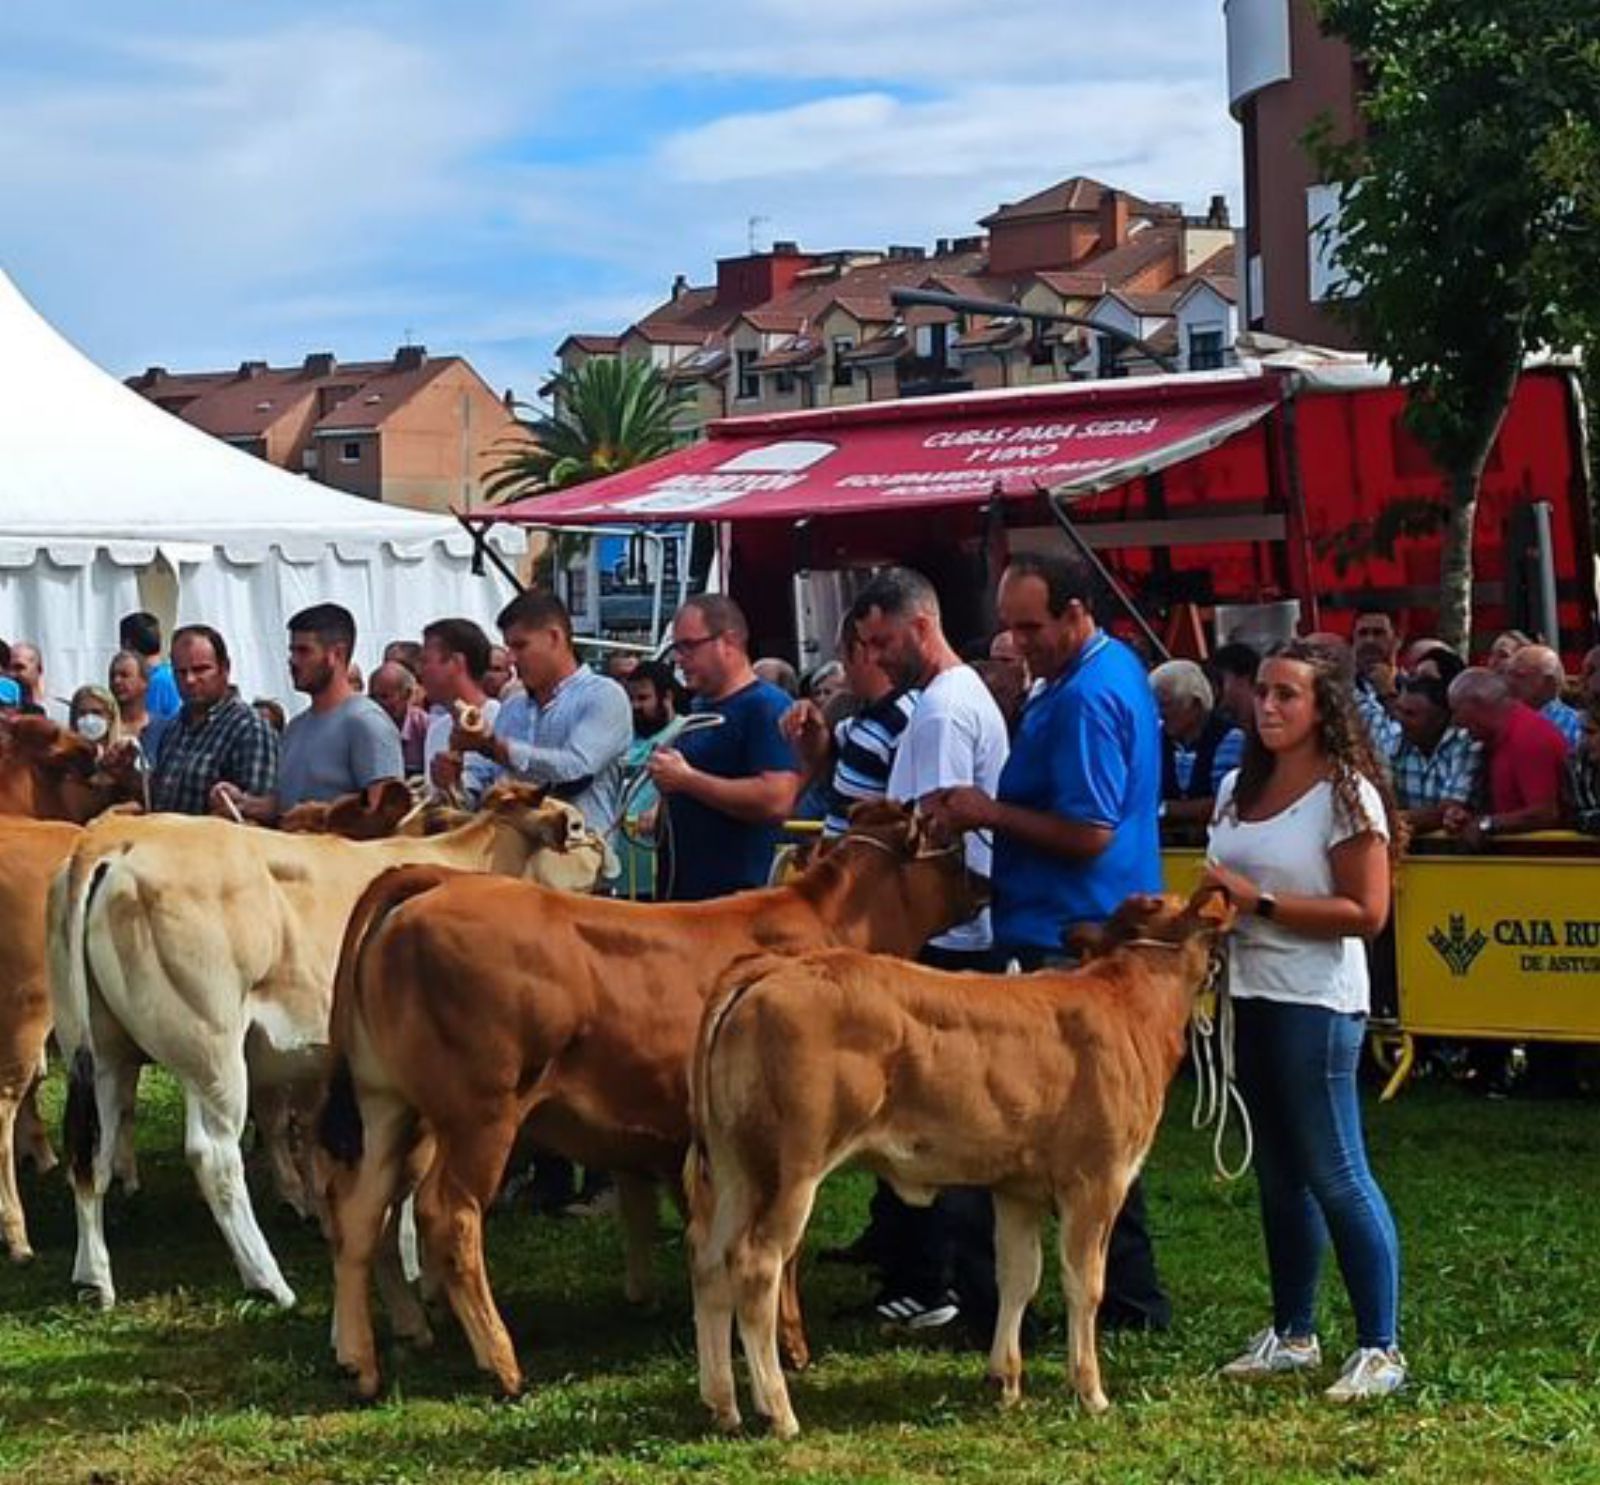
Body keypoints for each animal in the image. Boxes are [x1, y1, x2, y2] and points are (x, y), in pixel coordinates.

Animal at [318, 800, 979, 1395]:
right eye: (953, 840)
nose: (984, 885)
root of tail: (434, 881)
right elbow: (781, 1254)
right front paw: (791, 1347)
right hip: (480, 1114)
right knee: (446, 1214)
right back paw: (501, 1364)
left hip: (386, 1105)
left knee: (359, 1213)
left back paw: (360, 1363)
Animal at [688, 883, 1235, 1440]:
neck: (1130, 1003)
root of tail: (773, 969)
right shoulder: (1096, 1180)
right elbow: (1085, 1284)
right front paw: (1090, 1392)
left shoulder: (1017, 1188)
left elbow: (1018, 1275)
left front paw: (1004, 1381)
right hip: (789, 1168)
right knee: (755, 1265)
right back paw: (779, 1412)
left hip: (736, 1168)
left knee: (709, 1261)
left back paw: (723, 1405)